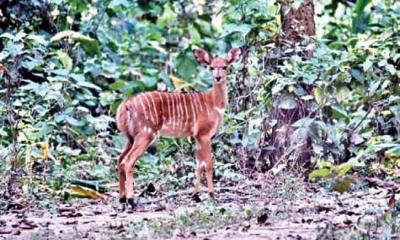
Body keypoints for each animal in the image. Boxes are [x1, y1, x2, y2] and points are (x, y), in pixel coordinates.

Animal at [115, 47, 241, 209]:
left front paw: (196, 196)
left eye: (225, 66)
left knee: (120, 160)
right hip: (145, 134)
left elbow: (198, 164)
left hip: (129, 137)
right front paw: (212, 196)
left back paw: (122, 198)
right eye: (211, 67)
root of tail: (125, 106)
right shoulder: (204, 134)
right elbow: (208, 164)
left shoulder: (196, 136)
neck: (213, 102)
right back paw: (132, 201)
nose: (218, 77)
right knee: (129, 161)